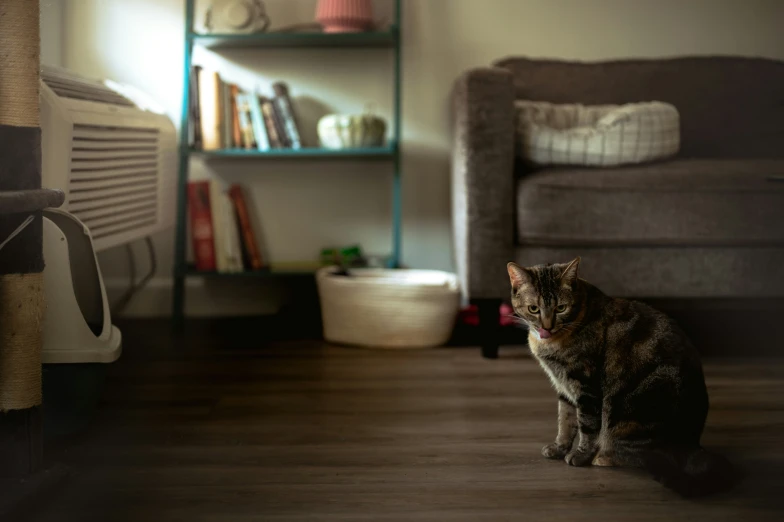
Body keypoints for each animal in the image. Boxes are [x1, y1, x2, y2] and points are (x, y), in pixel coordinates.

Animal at [508, 256, 736, 496]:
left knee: (641, 454)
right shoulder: (564, 387)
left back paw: (603, 457)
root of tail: (691, 444)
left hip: (628, 413)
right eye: (534, 308)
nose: (547, 327)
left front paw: (580, 456)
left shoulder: (586, 387)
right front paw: (559, 448)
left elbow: (586, 425)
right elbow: (565, 421)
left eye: (561, 308)